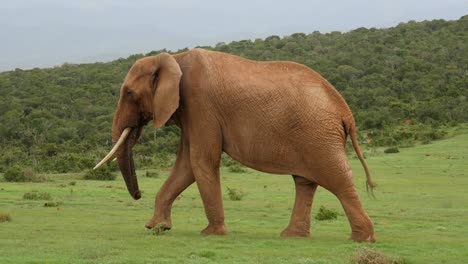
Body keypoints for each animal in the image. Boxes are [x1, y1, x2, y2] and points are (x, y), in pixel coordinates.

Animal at [94, 48, 376, 242]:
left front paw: (211, 233)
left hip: (319, 135)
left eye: (129, 93)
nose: (138, 194)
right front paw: (157, 228)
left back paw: (362, 239)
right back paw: (291, 236)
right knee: (305, 182)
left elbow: (200, 161)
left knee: (337, 179)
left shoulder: (199, 104)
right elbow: (186, 166)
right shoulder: (190, 111)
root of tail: (345, 111)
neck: (174, 57)